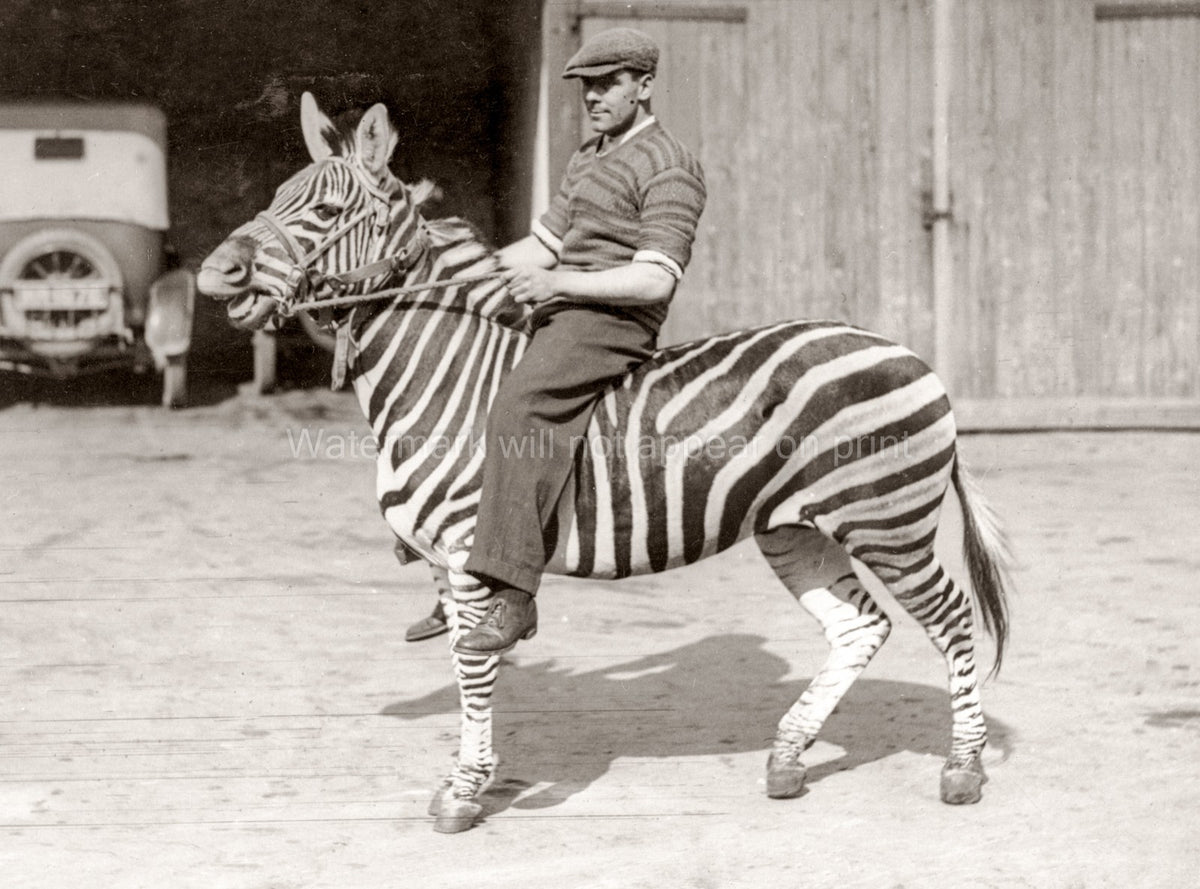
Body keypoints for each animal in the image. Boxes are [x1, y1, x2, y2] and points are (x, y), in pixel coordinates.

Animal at [198, 93, 1011, 833]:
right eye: (276, 197)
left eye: (328, 211)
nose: (212, 274)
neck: (447, 375)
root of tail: (913, 354)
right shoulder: (442, 564)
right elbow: (466, 668)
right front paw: (476, 774)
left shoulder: (465, 555)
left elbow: (474, 666)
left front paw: (463, 791)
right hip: (795, 527)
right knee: (858, 627)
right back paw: (786, 759)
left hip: (888, 524)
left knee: (953, 620)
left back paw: (963, 770)